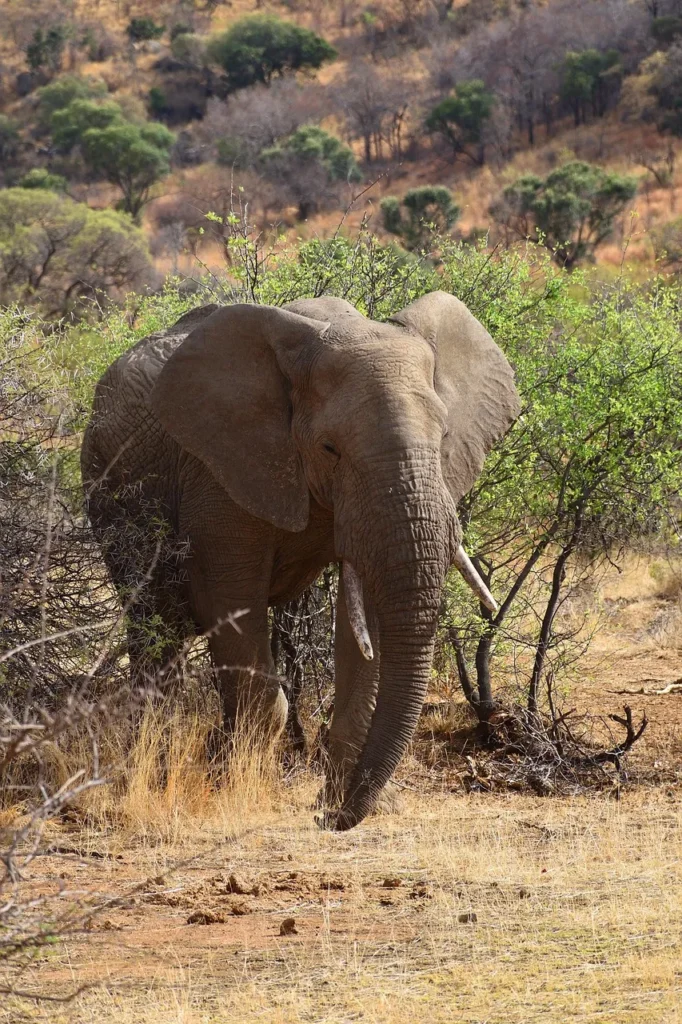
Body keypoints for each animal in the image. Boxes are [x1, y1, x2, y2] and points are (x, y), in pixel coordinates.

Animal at [81, 291, 520, 830]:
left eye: (442, 441)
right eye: (329, 447)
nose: (330, 820)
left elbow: (368, 624)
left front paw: (348, 801)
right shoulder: (217, 471)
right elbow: (229, 598)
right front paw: (236, 790)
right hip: (108, 489)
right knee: (153, 625)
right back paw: (145, 781)